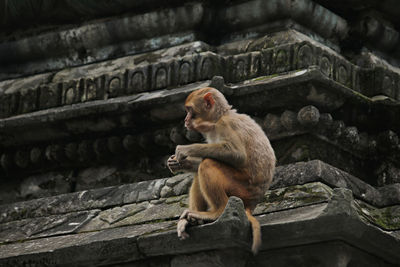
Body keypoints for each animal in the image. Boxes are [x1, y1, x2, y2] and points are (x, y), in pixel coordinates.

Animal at [166, 87, 276, 255]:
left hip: (240, 189)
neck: (218, 119)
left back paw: (216, 213)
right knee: (202, 167)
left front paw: (185, 149)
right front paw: (180, 163)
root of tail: (251, 204)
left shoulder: (225, 124)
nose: (185, 120)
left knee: (208, 163)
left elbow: (237, 154)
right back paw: (192, 220)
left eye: (190, 111)